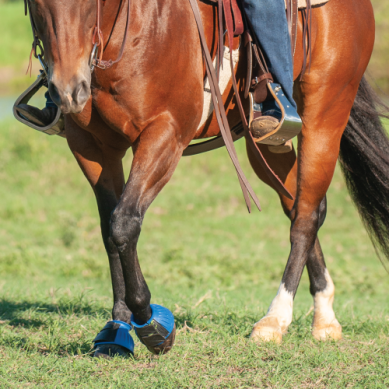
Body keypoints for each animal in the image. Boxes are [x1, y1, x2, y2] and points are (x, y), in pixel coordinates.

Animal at [24, 0, 388, 354]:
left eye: (89, 4)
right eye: (37, 3)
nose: (68, 90)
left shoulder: (165, 134)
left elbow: (123, 223)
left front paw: (151, 324)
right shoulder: (91, 146)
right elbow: (109, 231)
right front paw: (117, 327)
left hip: (326, 111)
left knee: (306, 216)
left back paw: (275, 319)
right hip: (266, 142)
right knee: (302, 204)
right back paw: (325, 315)